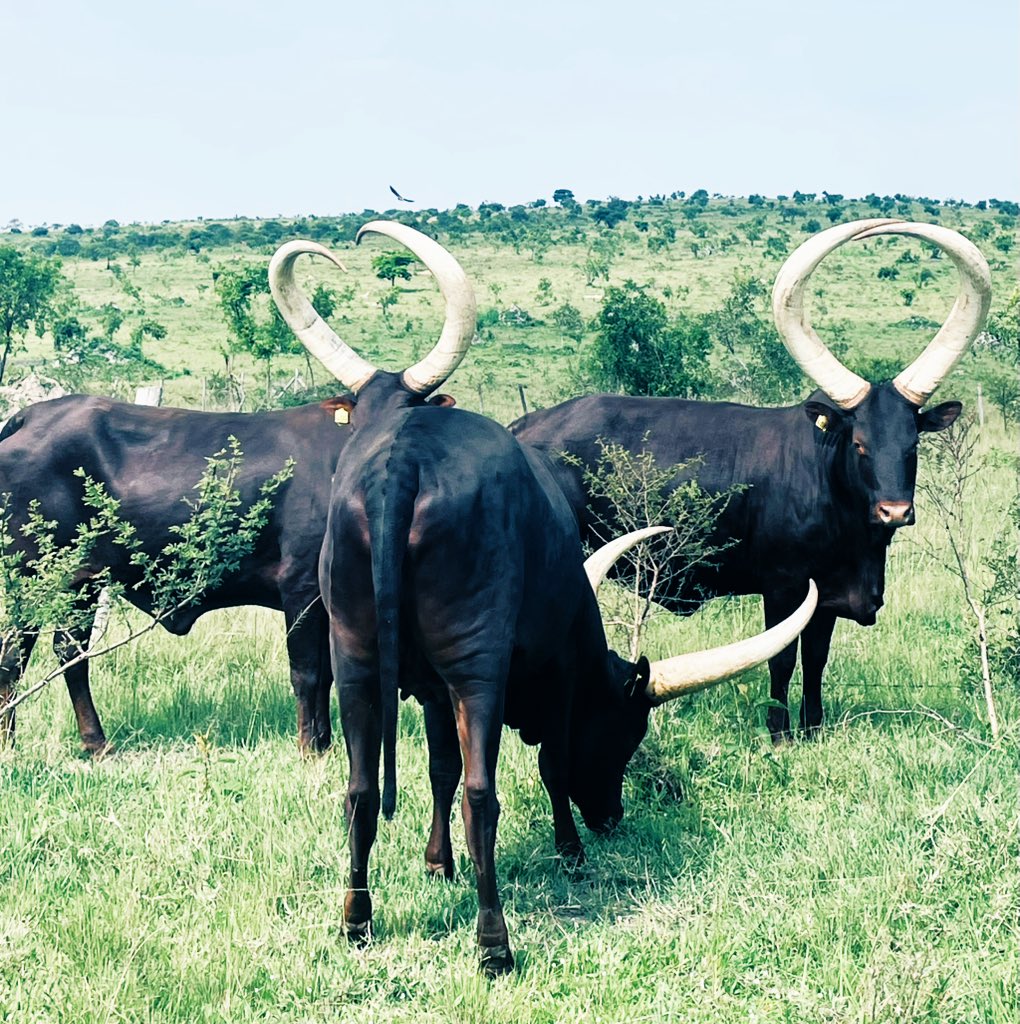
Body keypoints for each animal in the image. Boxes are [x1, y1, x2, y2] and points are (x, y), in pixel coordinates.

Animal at [0, 396, 353, 753]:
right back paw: (10, 743)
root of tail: (32, 415)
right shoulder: (300, 585)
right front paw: (309, 748)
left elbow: (327, 674)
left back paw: (96, 744)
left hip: (80, 582)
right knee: (13, 658)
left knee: (70, 653)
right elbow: (307, 673)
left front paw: (325, 744)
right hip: (31, 579)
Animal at [269, 221, 817, 975]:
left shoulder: (432, 691)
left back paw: (356, 920)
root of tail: (400, 464)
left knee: (359, 792)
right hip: (476, 666)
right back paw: (494, 944)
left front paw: (437, 864)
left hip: (353, 656)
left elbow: (438, 770)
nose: (611, 819)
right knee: (483, 796)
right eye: (625, 727)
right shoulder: (551, 677)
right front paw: (569, 850)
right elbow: (548, 766)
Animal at [510, 219, 991, 740]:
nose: (895, 512)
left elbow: (816, 661)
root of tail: (523, 427)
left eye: (913, 444)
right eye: (860, 443)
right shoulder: (783, 588)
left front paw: (813, 728)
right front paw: (779, 732)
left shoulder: (826, 598)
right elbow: (781, 660)